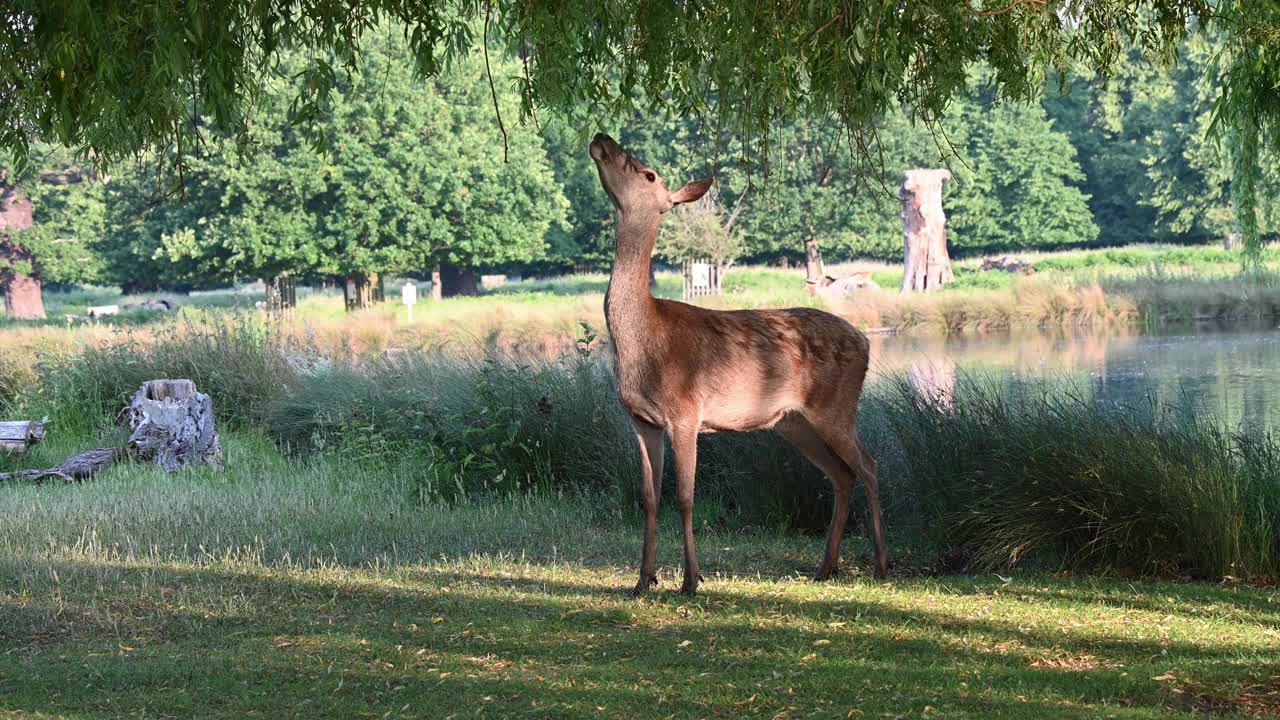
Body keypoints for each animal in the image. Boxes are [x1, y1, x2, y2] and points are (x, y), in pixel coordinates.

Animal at [588, 130, 890, 594]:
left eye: (648, 172)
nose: (602, 137)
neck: (644, 341)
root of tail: (865, 341)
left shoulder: (685, 411)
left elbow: (686, 497)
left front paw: (691, 579)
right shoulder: (640, 420)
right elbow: (649, 498)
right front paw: (643, 581)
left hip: (836, 406)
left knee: (870, 467)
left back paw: (880, 565)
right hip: (793, 422)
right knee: (842, 475)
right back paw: (825, 567)